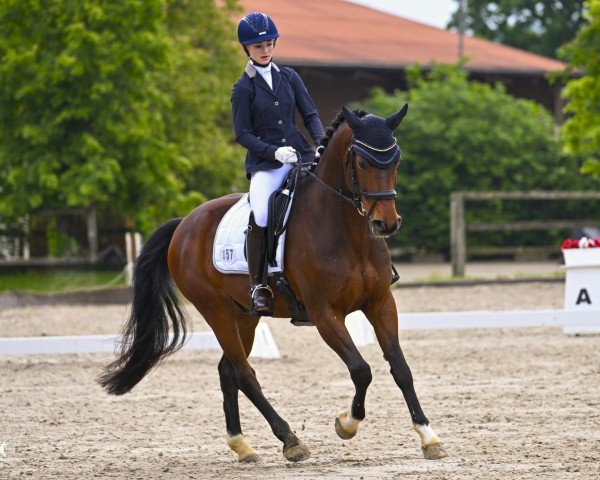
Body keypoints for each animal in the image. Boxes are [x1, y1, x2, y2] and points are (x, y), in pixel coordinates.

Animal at [98, 104, 446, 462]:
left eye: (396, 161)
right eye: (363, 163)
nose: (386, 224)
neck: (346, 232)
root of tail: (184, 224)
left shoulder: (379, 303)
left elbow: (400, 368)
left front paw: (428, 436)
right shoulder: (324, 314)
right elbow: (361, 370)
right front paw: (346, 424)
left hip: (245, 315)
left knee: (227, 371)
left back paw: (242, 445)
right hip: (215, 310)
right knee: (244, 373)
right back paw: (290, 440)